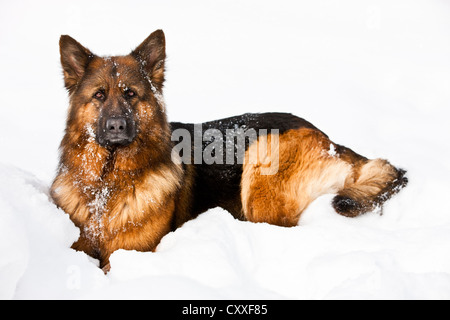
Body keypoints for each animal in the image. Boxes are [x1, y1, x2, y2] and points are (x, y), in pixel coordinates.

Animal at [51, 29, 408, 270]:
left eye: (130, 94)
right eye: (99, 95)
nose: (116, 127)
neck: (108, 185)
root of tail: (330, 139)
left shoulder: (132, 254)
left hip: (260, 165)